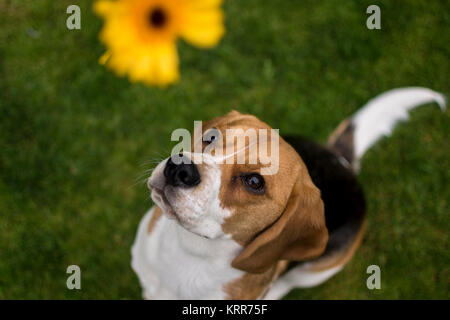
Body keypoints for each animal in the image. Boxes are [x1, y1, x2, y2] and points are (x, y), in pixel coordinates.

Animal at [132, 86, 444, 298]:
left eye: (255, 182)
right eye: (211, 137)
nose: (179, 168)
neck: (190, 253)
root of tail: (340, 160)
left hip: (317, 269)